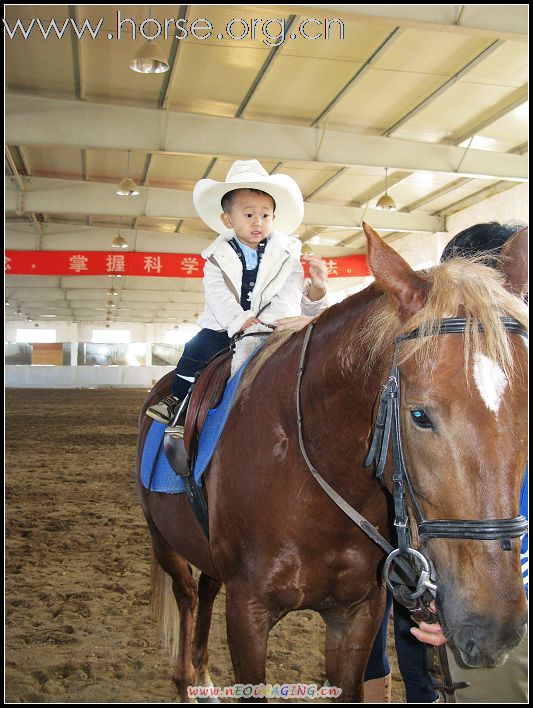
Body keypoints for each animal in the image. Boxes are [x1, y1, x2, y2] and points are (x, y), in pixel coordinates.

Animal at [134, 225, 528, 704]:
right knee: (188, 593)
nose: (494, 626)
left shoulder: (359, 613)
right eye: (419, 415)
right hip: (162, 538)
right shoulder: (248, 612)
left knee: (206, 587)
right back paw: (188, 677)